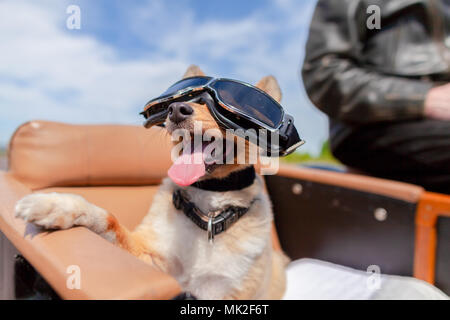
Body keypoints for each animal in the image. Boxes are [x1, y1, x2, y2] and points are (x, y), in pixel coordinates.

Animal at [14, 65, 288, 300]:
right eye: (189, 97)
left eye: (227, 110)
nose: (176, 109)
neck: (207, 213)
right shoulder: (149, 259)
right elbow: (110, 221)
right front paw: (59, 205)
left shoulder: (228, 291)